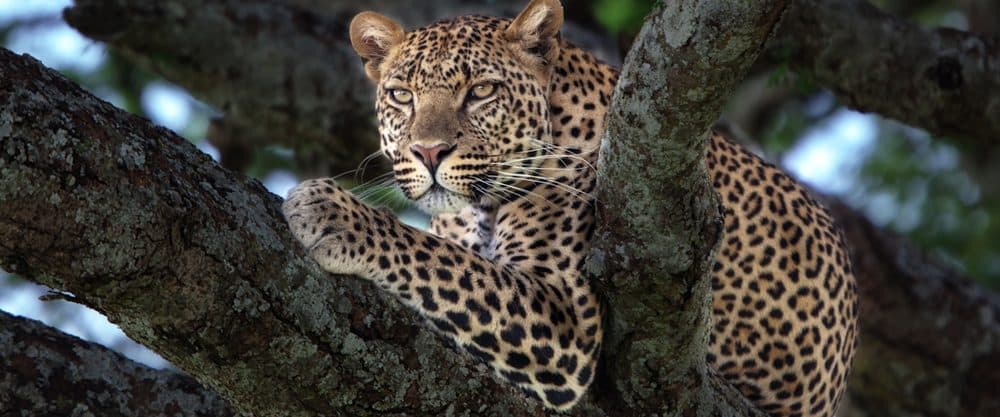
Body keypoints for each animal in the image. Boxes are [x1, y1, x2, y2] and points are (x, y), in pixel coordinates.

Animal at [281, 0, 858, 415]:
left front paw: (336, 214)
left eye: (482, 91)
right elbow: (449, 256)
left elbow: (440, 260)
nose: (428, 152)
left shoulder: (564, 313)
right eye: (402, 96)